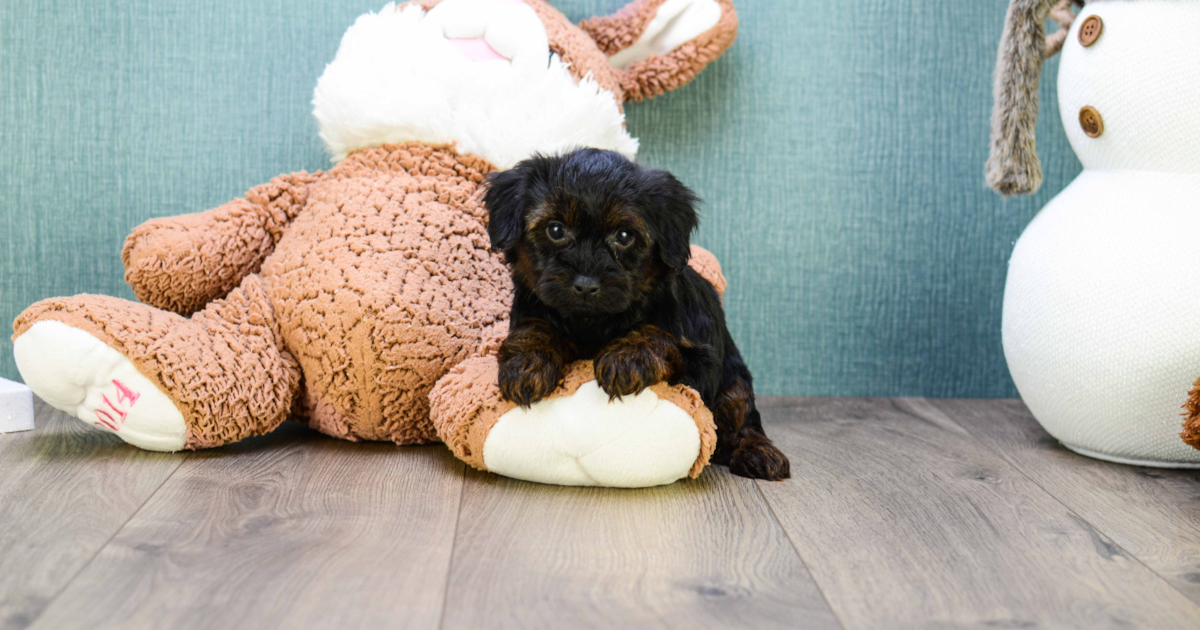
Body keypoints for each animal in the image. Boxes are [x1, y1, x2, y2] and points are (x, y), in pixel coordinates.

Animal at [482, 148, 792, 482]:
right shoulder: (533, 306)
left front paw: (627, 358)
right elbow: (534, 327)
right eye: (555, 229)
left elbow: (657, 335)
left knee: (741, 414)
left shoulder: (699, 362)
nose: (586, 285)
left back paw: (759, 453)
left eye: (624, 235)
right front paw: (527, 364)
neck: (592, 322)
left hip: (733, 380)